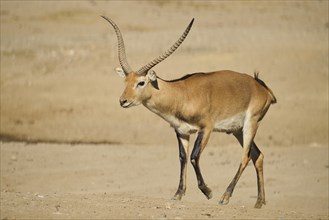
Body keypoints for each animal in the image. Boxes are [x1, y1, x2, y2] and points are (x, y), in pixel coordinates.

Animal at [101, 16, 276, 209]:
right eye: (126, 81)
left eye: (141, 82)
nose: (123, 101)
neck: (181, 94)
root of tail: (262, 87)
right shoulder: (181, 132)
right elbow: (182, 158)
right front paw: (178, 194)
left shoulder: (206, 129)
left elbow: (193, 156)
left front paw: (208, 192)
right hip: (237, 130)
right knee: (257, 155)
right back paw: (259, 202)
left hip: (250, 124)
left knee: (246, 157)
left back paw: (225, 197)